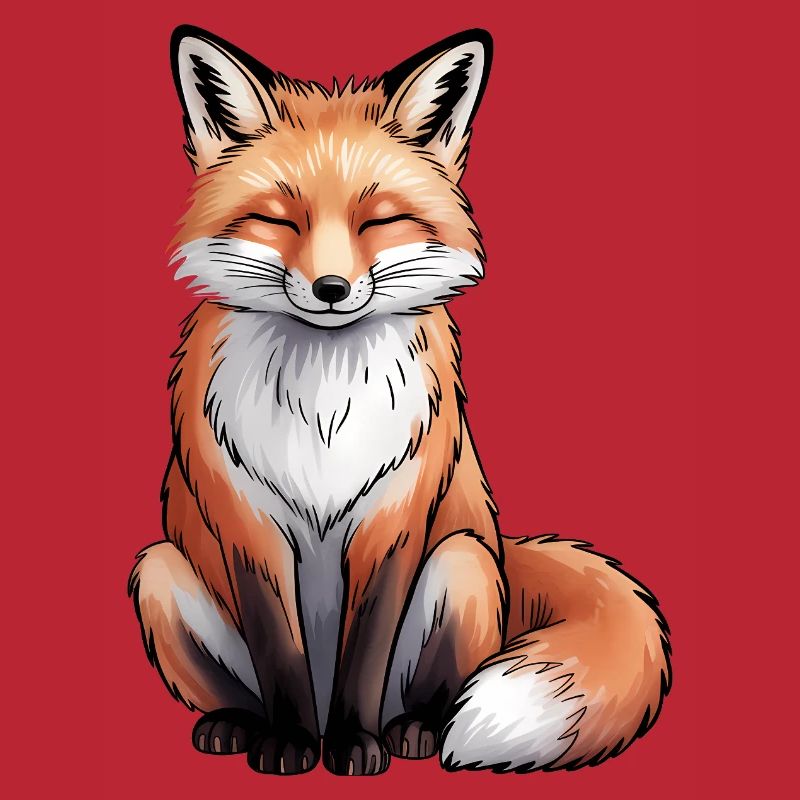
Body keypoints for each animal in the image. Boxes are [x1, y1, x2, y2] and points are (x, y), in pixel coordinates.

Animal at [128, 25, 671, 776]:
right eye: (277, 219)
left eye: (379, 221)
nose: (330, 288)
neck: (324, 410)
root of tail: (505, 548)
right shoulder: (248, 526)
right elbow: (279, 649)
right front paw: (290, 745)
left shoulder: (393, 518)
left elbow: (366, 651)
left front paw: (354, 746)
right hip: (157, 570)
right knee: (239, 686)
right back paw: (238, 725)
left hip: (464, 563)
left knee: (430, 695)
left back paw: (410, 732)